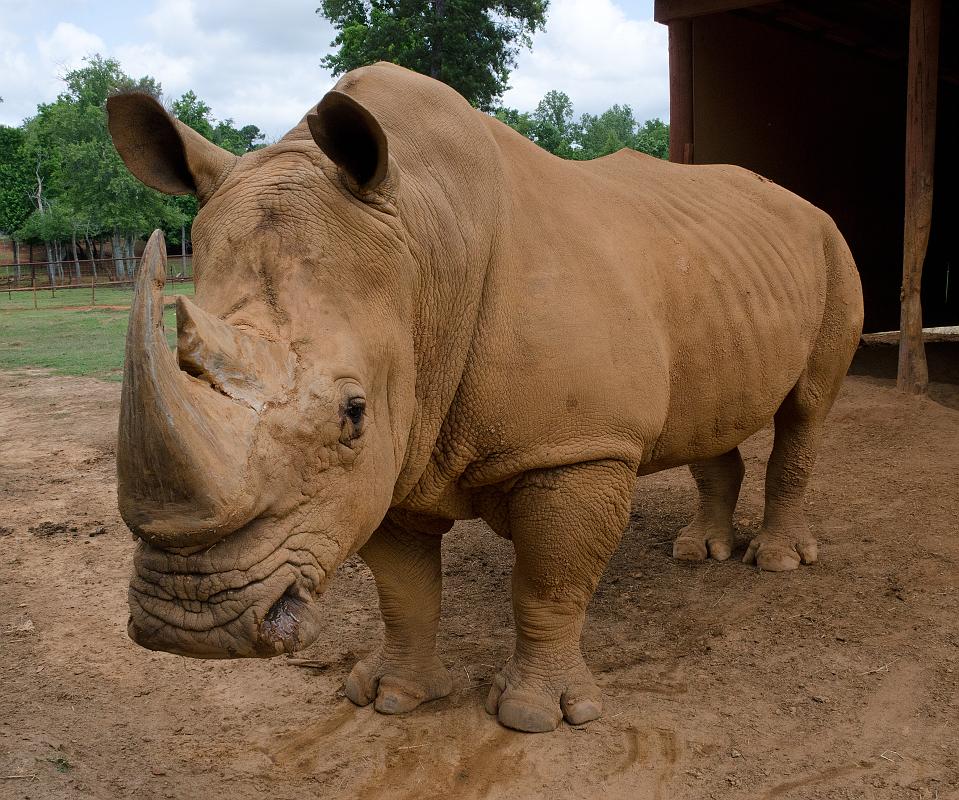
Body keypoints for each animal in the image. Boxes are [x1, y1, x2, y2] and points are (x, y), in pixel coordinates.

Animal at [107, 62, 863, 733]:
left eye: (351, 414)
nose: (191, 619)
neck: (424, 248)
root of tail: (800, 204)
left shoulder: (572, 447)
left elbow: (549, 583)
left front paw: (537, 717)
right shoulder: (399, 438)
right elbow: (404, 589)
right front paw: (390, 697)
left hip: (830, 246)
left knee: (806, 409)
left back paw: (776, 562)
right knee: (712, 413)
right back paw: (696, 552)